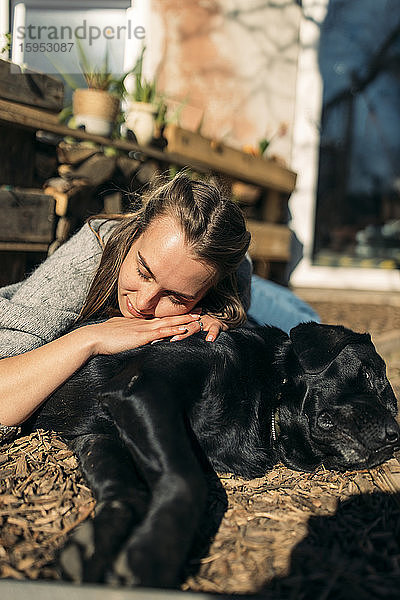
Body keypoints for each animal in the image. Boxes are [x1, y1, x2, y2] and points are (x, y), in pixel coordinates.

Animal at [20, 324, 398, 584]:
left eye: (394, 406)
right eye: (367, 374)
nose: (395, 435)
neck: (266, 394)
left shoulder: (97, 437)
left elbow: (126, 491)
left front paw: (94, 545)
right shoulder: (143, 386)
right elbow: (186, 480)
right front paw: (150, 556)